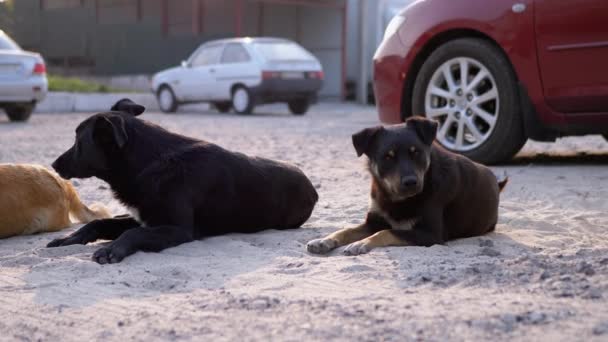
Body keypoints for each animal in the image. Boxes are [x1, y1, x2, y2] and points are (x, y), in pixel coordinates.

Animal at [47, 97, 318, 264]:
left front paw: (113, 249)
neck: (149, 163)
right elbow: (99, 222)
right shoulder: (143, 218)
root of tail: (313, 190)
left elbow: (133, 234)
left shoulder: (176, 229)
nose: (53, 165)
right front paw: (70, 238)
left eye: (79, 143)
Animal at [306, 116, 506, 255]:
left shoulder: (431, 234)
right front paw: (324, 241)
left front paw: (362, 243)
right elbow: (346, 230)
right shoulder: (373, 221)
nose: (411, 182)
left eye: (415, 152)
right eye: (388, 156)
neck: (397, 199)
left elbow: (386, 232)